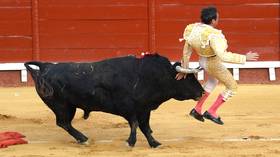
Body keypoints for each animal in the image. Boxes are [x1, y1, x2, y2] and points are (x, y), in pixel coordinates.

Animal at [24, 53, 203, 147]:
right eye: (188, 79)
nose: (202, 92)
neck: (148, 76)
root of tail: (46, 67)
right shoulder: (129, 108)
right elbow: (135, 124)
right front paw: (131, 142)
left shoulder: (144, 109)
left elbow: (145, 127)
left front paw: (154, 143)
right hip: (62, 106)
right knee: (63, 123)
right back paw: (83, 139)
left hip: (67, 106)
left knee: (64, 123)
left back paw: (82, 138)